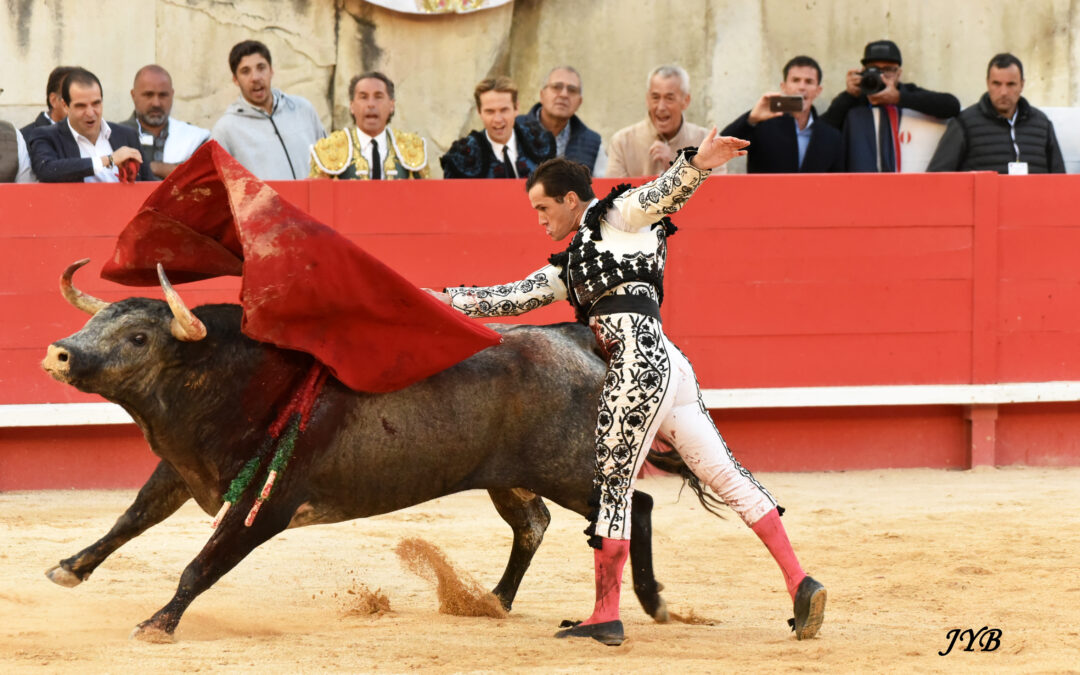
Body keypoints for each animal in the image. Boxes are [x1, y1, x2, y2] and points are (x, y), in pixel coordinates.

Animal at [42, 260, 686, 639]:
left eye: (138, 337)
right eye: (99, 320)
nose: (59, 352)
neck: (244, 382)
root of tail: (576, 339)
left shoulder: (267, 506)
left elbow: (202, 563)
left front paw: (158, 622)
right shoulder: (181, 469)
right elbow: (131, 518)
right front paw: (69, 568)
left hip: (574, 466)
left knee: (634, 507)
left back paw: (649, 604)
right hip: (507, 474)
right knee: (533, 523)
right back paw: (493, 601)